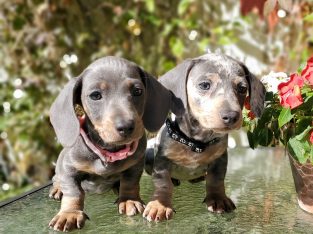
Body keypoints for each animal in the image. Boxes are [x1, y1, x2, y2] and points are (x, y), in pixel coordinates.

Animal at [48, 55, 183, 231]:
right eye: (95, 95)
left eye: (137, 91)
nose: (126, 127)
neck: (109, 152)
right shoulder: (69, 168)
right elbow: (73, 192)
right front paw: (69, 213)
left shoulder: (135, 164)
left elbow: (130, 182)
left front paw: (128, 200)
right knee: (57, 178)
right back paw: (57, 188)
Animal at [143, 52, 264, 221]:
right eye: (205, 85)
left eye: (242, 88)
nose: (231, 116)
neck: (196, 142)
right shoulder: (161, 160)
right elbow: (163, 183)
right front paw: (159, 205)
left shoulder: (220, 159)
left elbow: (216, 180)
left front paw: (218, 199)